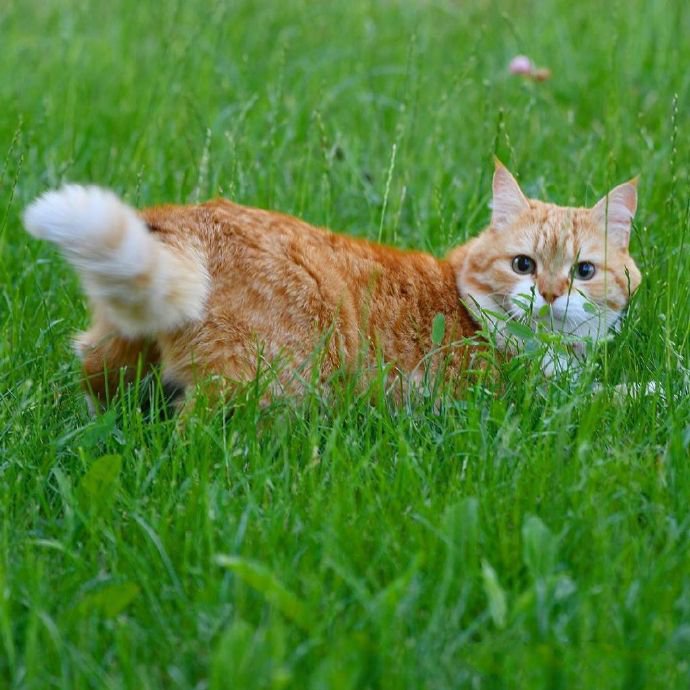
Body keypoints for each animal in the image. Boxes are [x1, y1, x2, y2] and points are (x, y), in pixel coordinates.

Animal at [22, 161, 640, 408]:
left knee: (96, 377)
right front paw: (647, 394)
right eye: (523, 265)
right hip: (266, 380)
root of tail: (187, 216)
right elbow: (613, 397)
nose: (551, 294)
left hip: (120, 345)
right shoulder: (521, 400)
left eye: (583, 271)